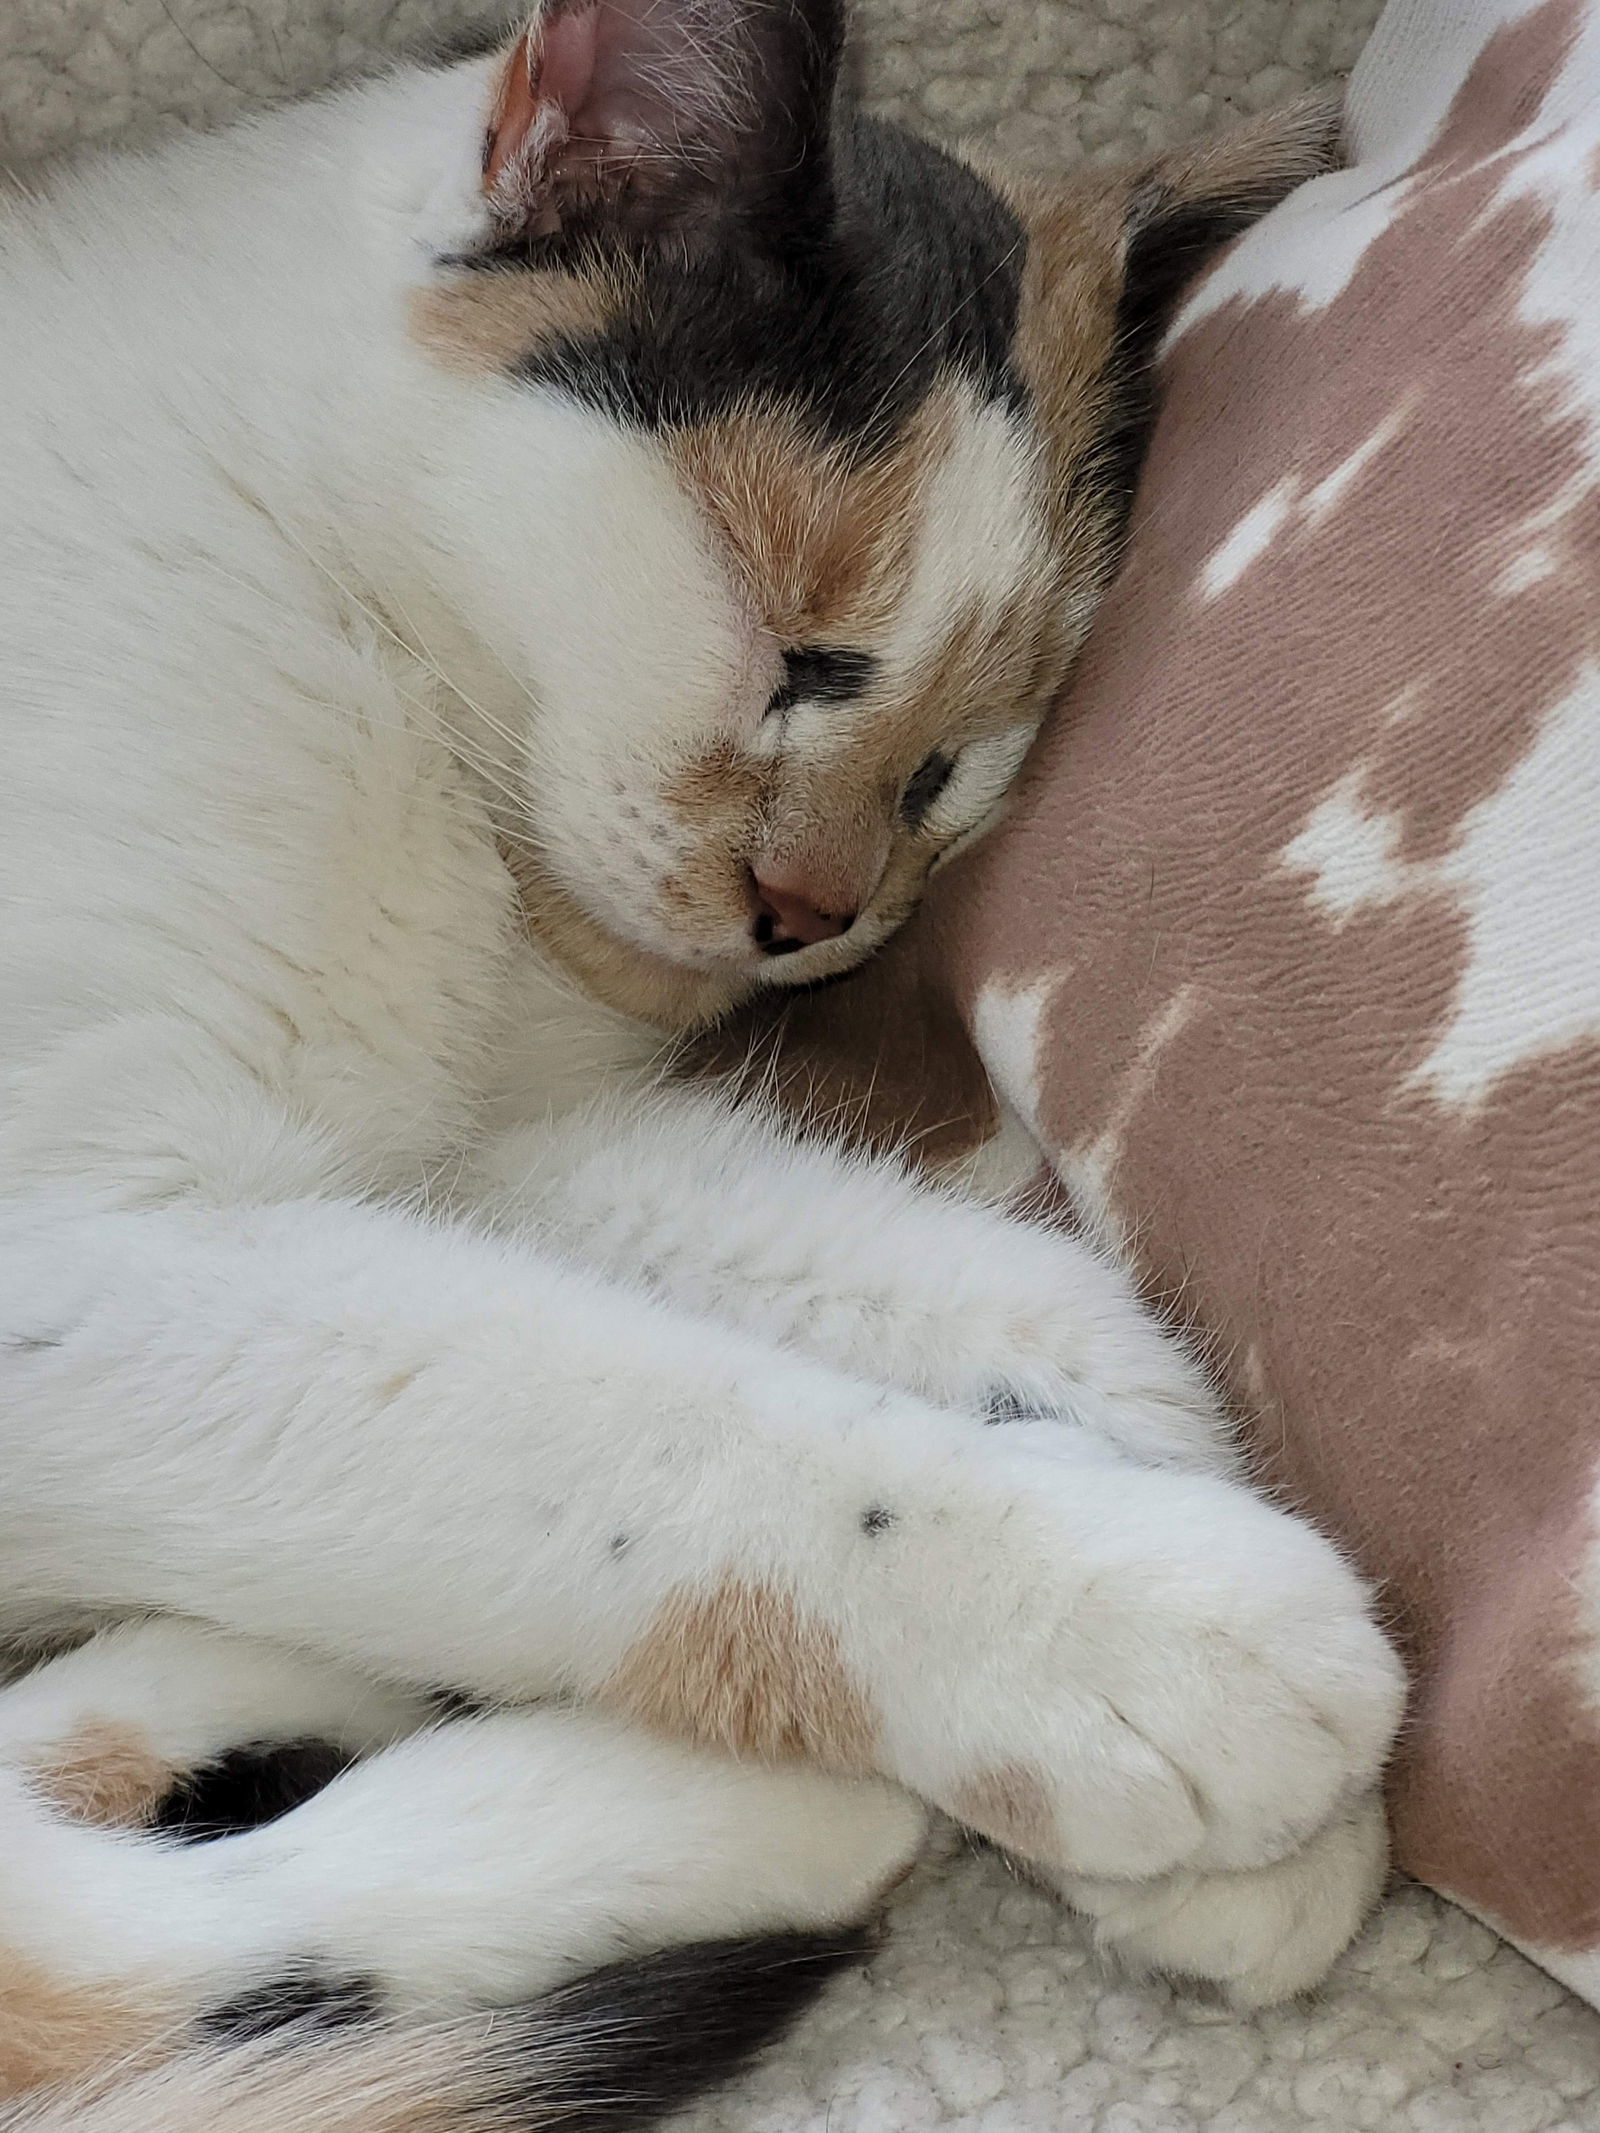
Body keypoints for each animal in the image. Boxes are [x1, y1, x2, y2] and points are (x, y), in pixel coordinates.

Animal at [0, 0, 1399, 2124]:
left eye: (951, 761)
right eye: (796, 645)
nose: (808, 909)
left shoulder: (465, 1145)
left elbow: (1004, 1292)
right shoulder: (70, 1240)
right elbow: (586, 1408)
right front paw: (1130, 1621)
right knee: (103, 1956)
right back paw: (768, 1807)